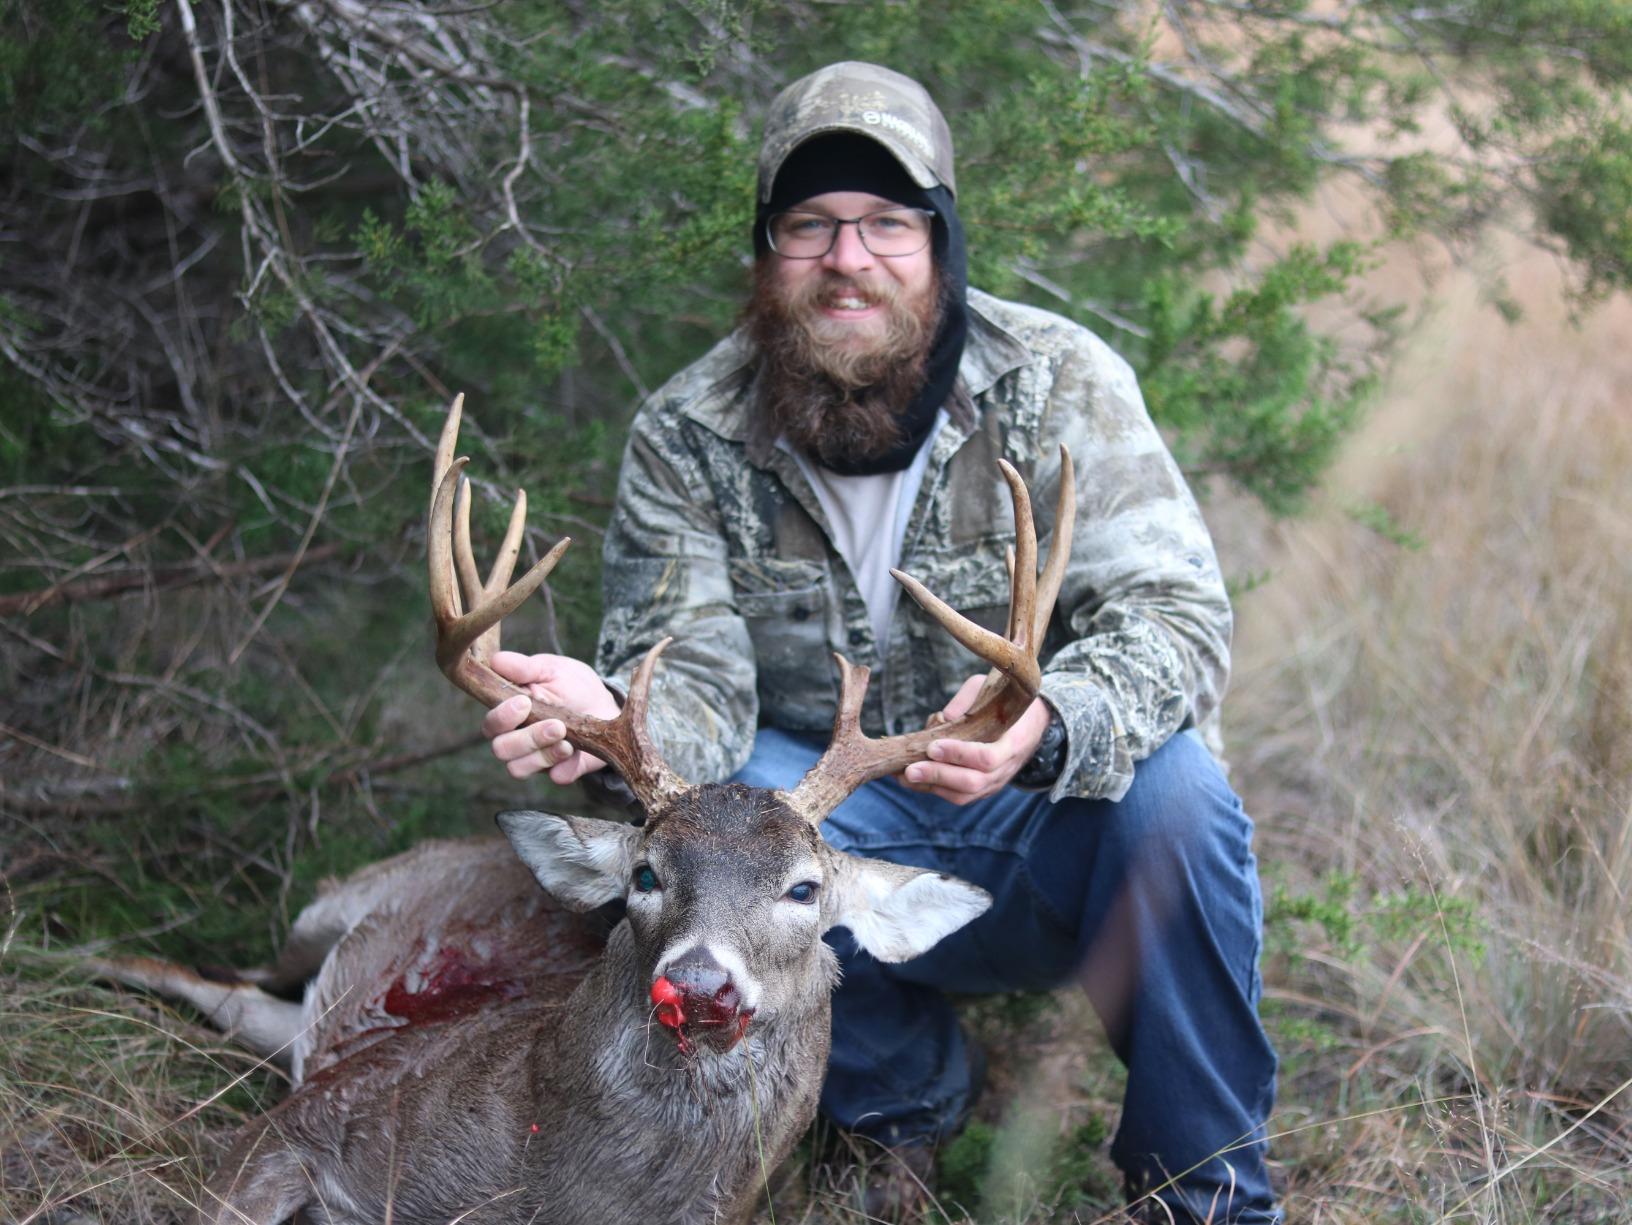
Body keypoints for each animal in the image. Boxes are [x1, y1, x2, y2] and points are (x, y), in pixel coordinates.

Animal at [93, 395, 1075, 1225]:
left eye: (804, 889)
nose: (701, 982)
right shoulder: (310, 1118)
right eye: (646, 872)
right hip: (327, 909)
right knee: (209, 974)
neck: (553, 1184)